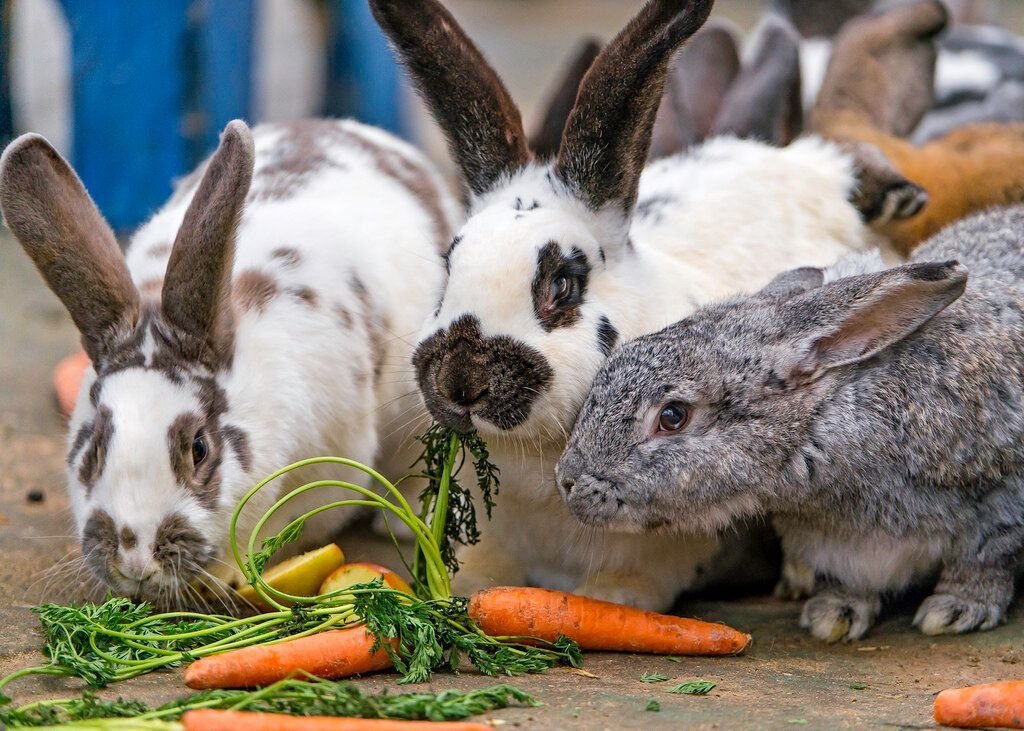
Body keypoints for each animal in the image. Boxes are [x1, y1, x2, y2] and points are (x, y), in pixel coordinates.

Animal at [372, 0, 901, 610]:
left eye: (563, 284)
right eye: (448, 266)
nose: (460, 383)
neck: (533, 454)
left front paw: (608, 600)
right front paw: (465, 589)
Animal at [557, 203, 1024, 638]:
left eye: (672, 416)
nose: (567, 480)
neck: (824, 421)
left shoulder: (998, 503)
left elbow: (984, 560)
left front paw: (954, 611)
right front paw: (832, 616)